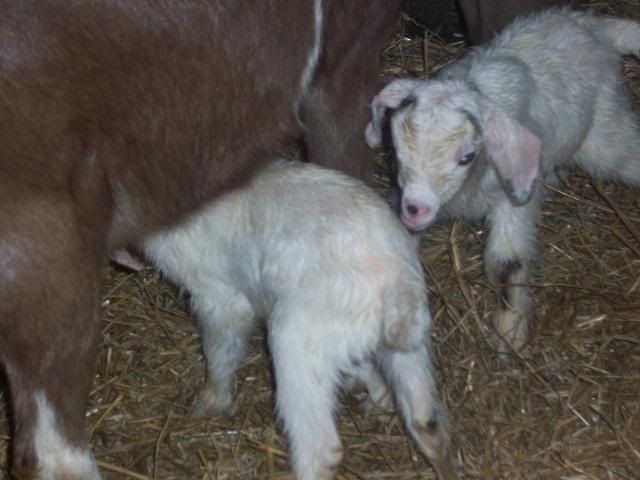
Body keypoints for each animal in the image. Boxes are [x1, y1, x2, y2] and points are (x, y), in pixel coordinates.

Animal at [143, 159, 458, 480]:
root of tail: (394, 277)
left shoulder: (218, 297)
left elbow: (220, 351)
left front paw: (211, 401)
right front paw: (371, 392)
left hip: (297, 342)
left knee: (322, 449)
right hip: (407, 345)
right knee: (426, 421)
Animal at [365, 8, 640, 350]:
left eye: (466, 156)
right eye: (396, 149)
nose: (416, 210)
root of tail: (591, 24)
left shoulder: (513, 201)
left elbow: (506, 264)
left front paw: (510, 332)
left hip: (604, 132)